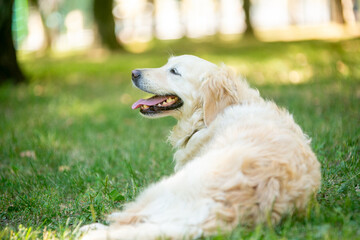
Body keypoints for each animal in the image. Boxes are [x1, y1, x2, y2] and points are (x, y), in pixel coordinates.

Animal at [81, 54, 320, 240]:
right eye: (166, 64)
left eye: (174, 71)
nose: (134, 73)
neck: (207, 117)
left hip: (159, 190)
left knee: (127, 221)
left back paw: (89, 228)